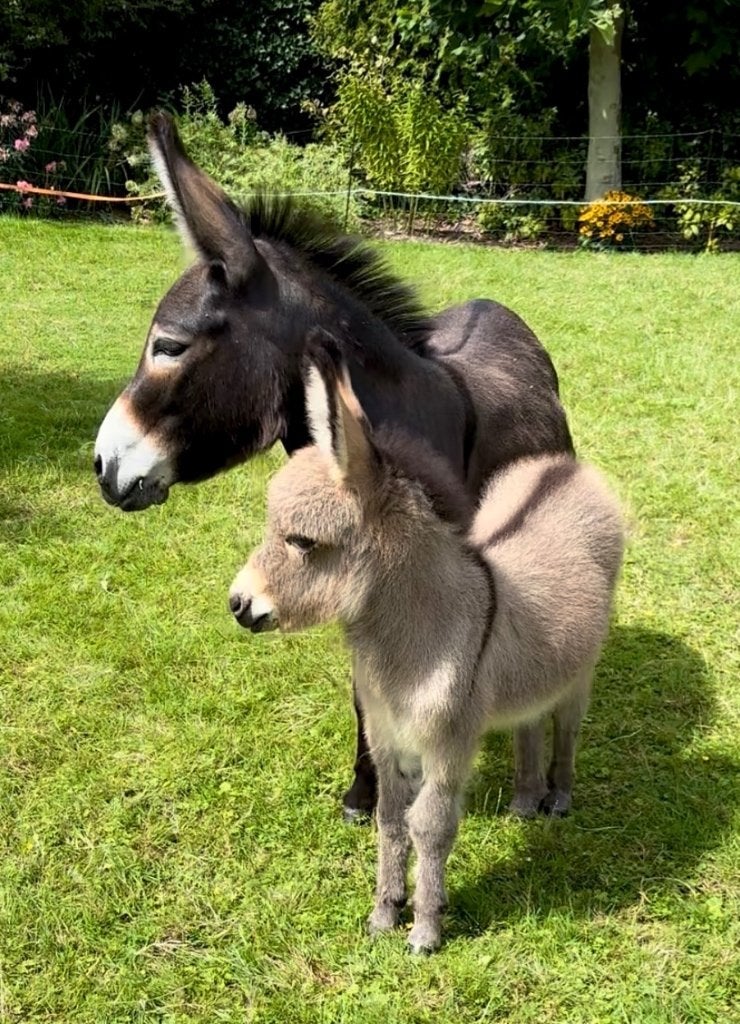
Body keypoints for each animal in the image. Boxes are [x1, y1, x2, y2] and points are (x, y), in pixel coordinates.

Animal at [229, 337, 624, 951]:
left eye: (302, 541)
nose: (238, 604)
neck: (415, 641)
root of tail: (566, 469)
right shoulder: (387, 736)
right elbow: (391, 822)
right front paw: (383, 915)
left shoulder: (447, 742)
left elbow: (430, 826)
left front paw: (425, 929)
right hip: (531, 674)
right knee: (530, 723)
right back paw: (523, 802)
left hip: (580, 673)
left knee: (566, 725)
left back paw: (557, 798)